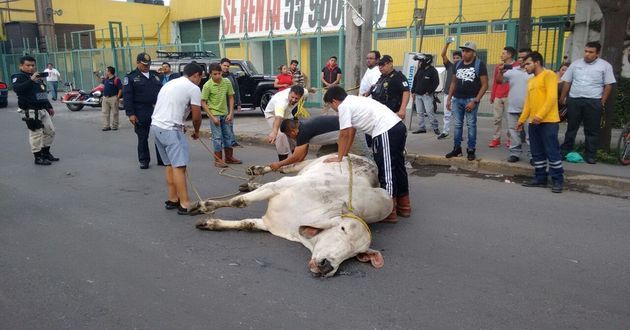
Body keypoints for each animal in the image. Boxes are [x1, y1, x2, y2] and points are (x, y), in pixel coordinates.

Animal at [193, 154, 392, 276]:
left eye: (357, 254)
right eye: (343, 228)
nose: (326, 266)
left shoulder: (268, 223)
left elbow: (246, 223)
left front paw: (211, 223)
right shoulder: (278, 186)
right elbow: (239, 202)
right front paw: (205, 205)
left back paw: (249, 183)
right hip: (308, 164)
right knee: (285, 167)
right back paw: (256, 170)